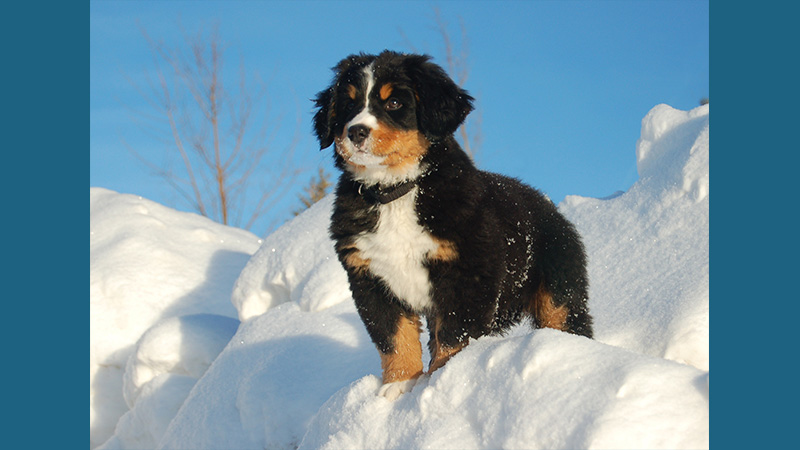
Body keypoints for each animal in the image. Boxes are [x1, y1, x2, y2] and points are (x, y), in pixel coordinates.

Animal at [312, 50, 592, 400]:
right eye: (348, 104)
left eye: (394, 103)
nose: (356, 132)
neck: (396, 192)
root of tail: (549, 205)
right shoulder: (370, 278)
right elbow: (394, 337)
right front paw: (399, 385)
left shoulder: (467, 275)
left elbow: (454, 336)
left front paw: (441, 380)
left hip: (560, 288)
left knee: (567, 318)